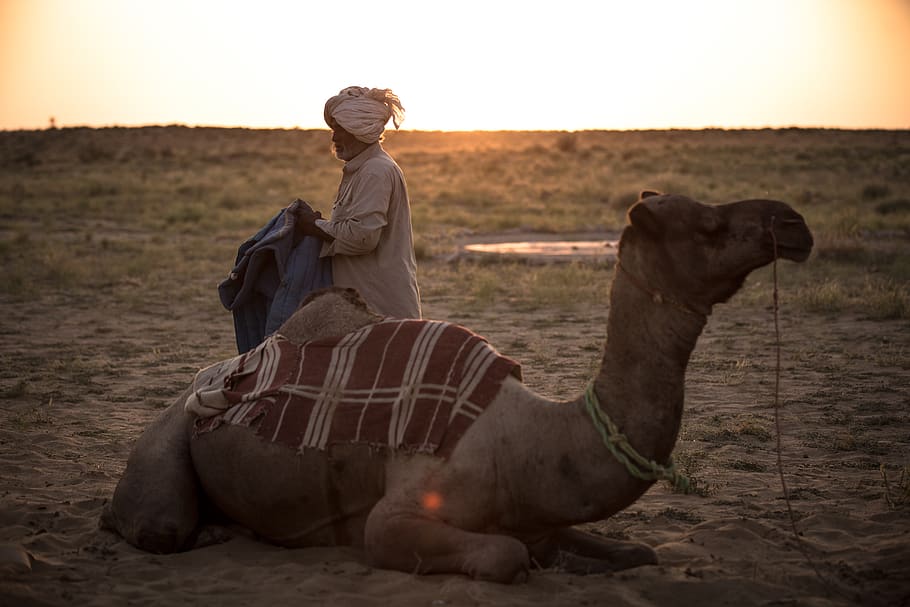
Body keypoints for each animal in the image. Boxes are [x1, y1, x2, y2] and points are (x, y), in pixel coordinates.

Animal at [102, 192, 813, 583]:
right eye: (707, 225)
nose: (794, 222)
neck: (529, 439)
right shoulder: (398, 515)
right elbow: (503, 556)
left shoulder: (543, 508)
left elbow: (639, 552)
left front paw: (578, 559)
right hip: (168, 440)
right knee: (156, 525)